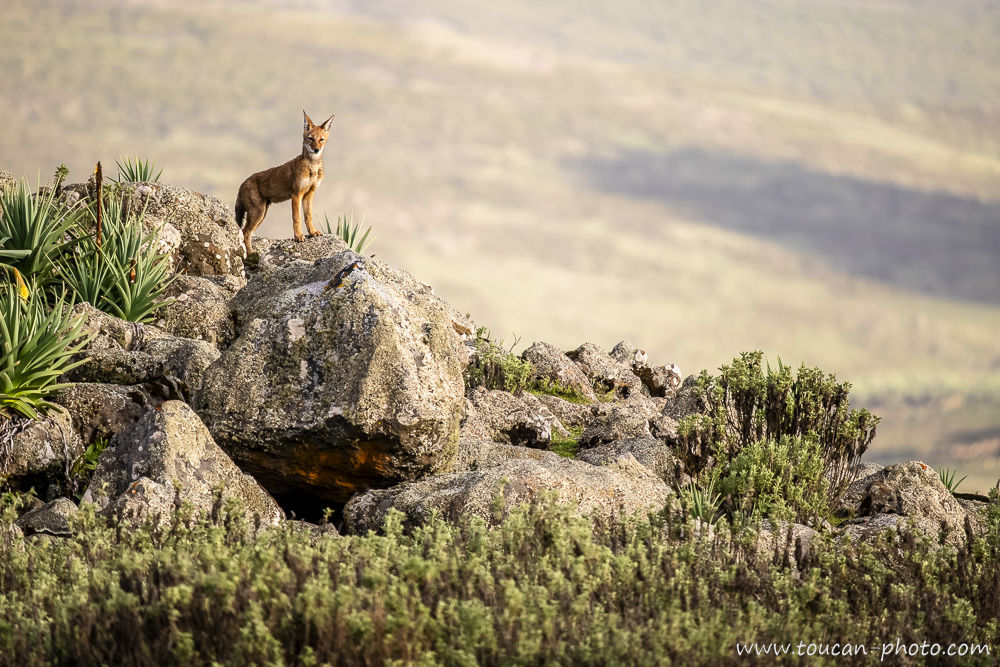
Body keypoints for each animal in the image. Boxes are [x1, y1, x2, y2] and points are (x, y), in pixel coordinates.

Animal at [234, 110, 335, 256]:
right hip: (258, 213)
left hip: (262, 214)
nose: (316, 149)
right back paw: (251, 255)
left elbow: (308, 216)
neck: (313, 168)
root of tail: (241, 185)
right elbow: (297, 218)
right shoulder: (296, 195)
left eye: (321, 139)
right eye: (310, 139)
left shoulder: (309, 194)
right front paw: (298, 236)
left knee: (246, 233)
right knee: (245, 233)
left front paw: (312, 232)